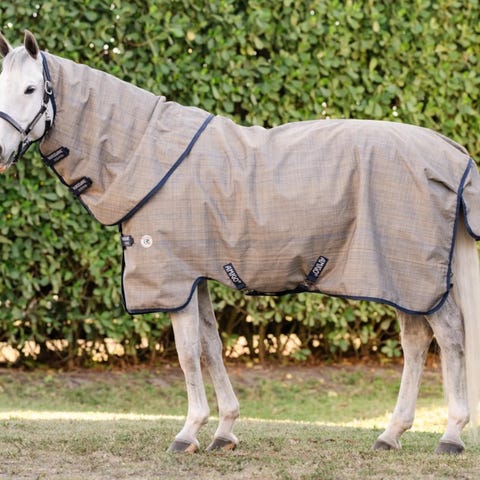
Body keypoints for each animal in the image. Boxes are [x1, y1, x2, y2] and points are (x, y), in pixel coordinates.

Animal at [0, 31, 479, 455]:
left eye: (30, 88)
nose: (1, 152)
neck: (144, 154)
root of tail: (452, 154)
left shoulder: (173, 279)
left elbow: (187, 353)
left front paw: (188, 433)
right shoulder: (197, 277)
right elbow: (211, 348)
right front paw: (224, 430)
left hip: (413, 276)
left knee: (450, 337)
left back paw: (451, 435)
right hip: (401, 279)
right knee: (416, 341)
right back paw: (391, 434)